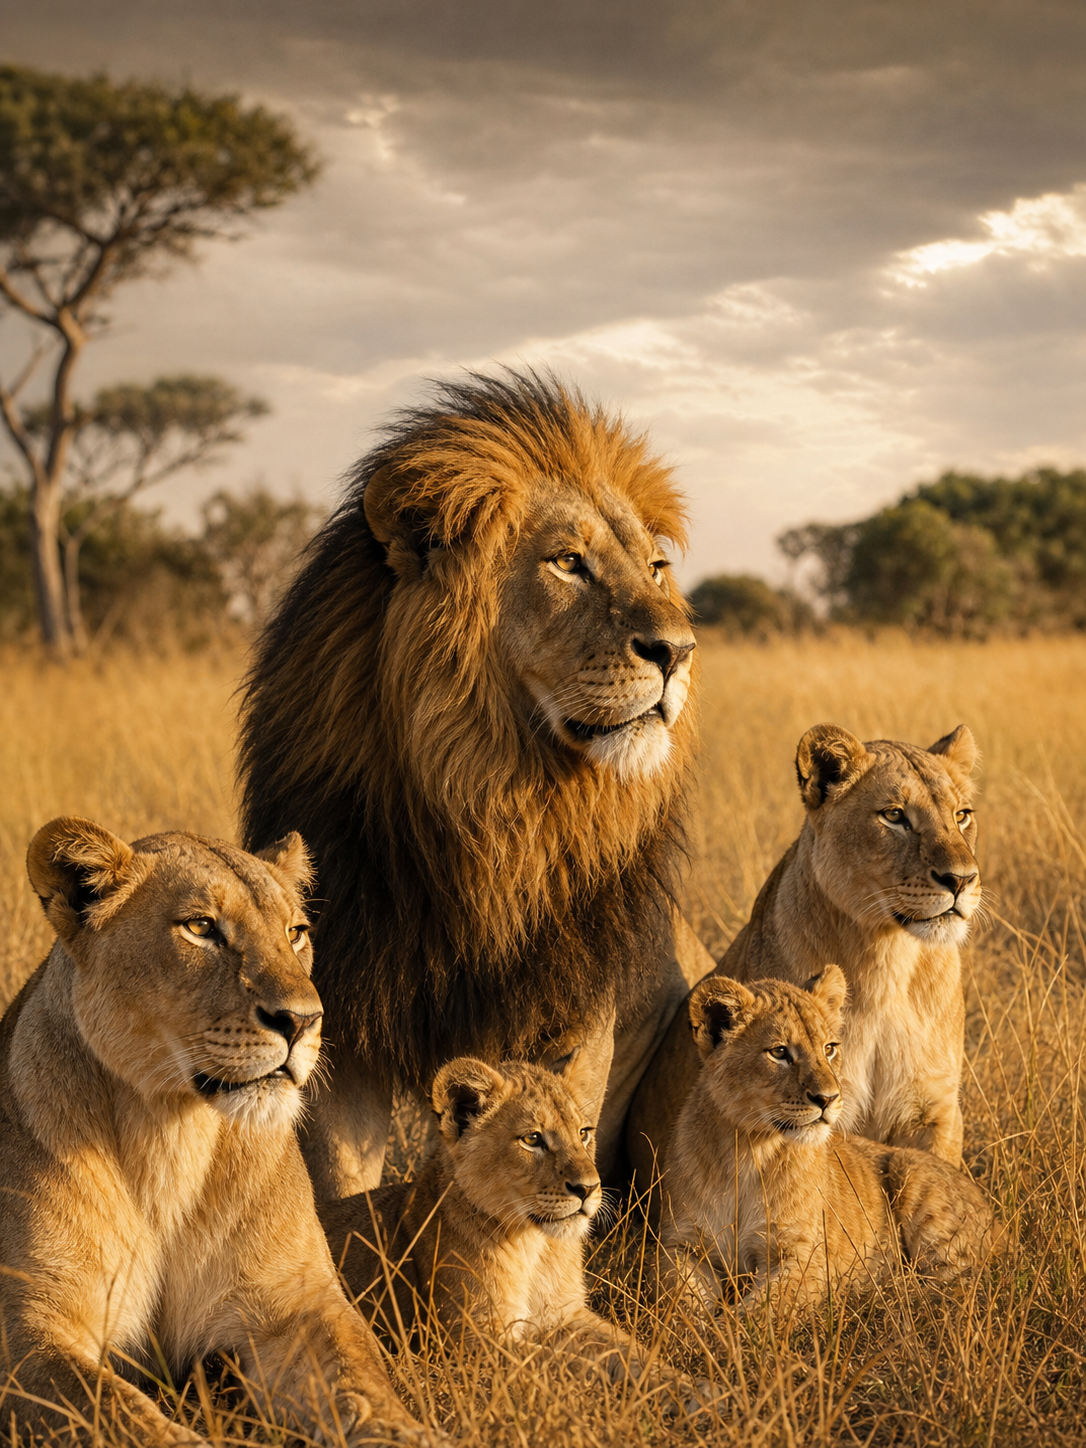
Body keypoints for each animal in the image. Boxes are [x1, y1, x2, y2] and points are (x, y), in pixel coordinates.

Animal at [0, 817, 431, 1447]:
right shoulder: (30, 1331)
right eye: (201, 927)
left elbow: (363, 1383)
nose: (303, 1020)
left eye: (296, 932)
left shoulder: (297, 1301)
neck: (169, 1134)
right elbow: (116, 1411)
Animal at [238, 368, 715, 1197]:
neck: (494, 802)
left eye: (655, 569)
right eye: (568, 563)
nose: (679, 650)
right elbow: (342, 1182)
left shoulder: (575, 1003)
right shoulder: (344, 1010)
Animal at [321, 1054, 653, 1386]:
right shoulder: (471, 1341)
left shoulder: (567, 1313)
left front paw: (664, 1385)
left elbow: (630, 1350)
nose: (588, 1188)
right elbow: (563, 1365)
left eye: (583, 1133)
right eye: (532, 1139)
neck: (534, 1246)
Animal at [663, 970, 996, 1317]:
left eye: (830, 1048)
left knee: (959, 1287)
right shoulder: (680, 1244)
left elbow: (760, 1313)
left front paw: (726, 1327)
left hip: (912, 1170)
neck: (747, 1150)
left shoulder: (806, 1257)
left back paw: (887, 1288)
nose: (828, 1098)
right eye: (779, 1053)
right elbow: (679, 1299)